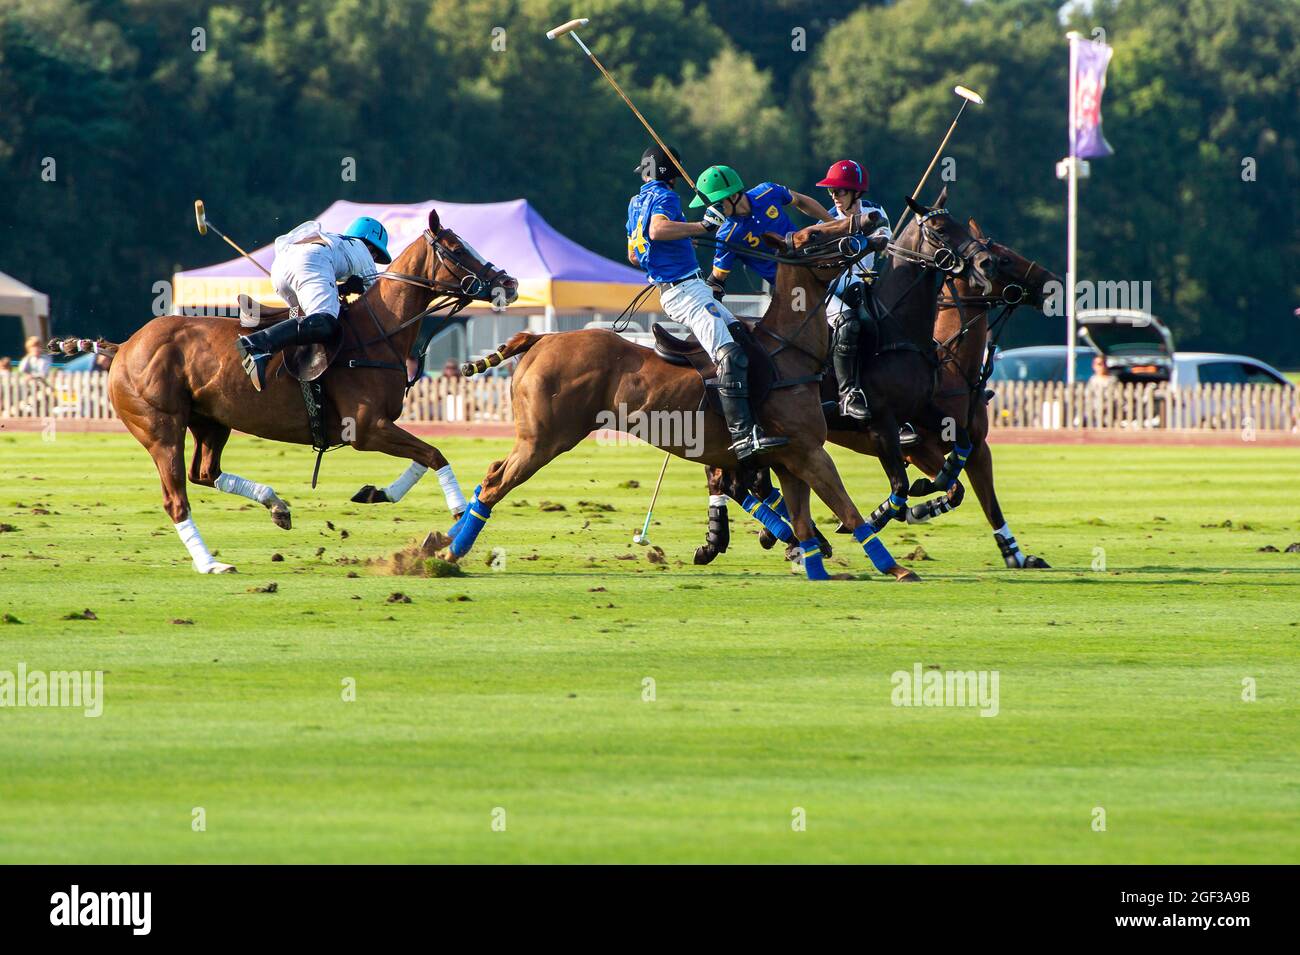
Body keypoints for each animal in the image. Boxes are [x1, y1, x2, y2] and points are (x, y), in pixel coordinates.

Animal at [55, 210, 514, 574]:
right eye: (457, 249)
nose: (508, 283)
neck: (379, 331)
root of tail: (123, 347)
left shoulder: (379, 426)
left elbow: (425, 456)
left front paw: (377, 493)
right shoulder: (365, 428)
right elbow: (435, 454)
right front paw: (459, 512)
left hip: (210, 422)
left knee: (205, 473)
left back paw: (275, 504)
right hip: (159, 428)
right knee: (177, 498)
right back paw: (211, 563)